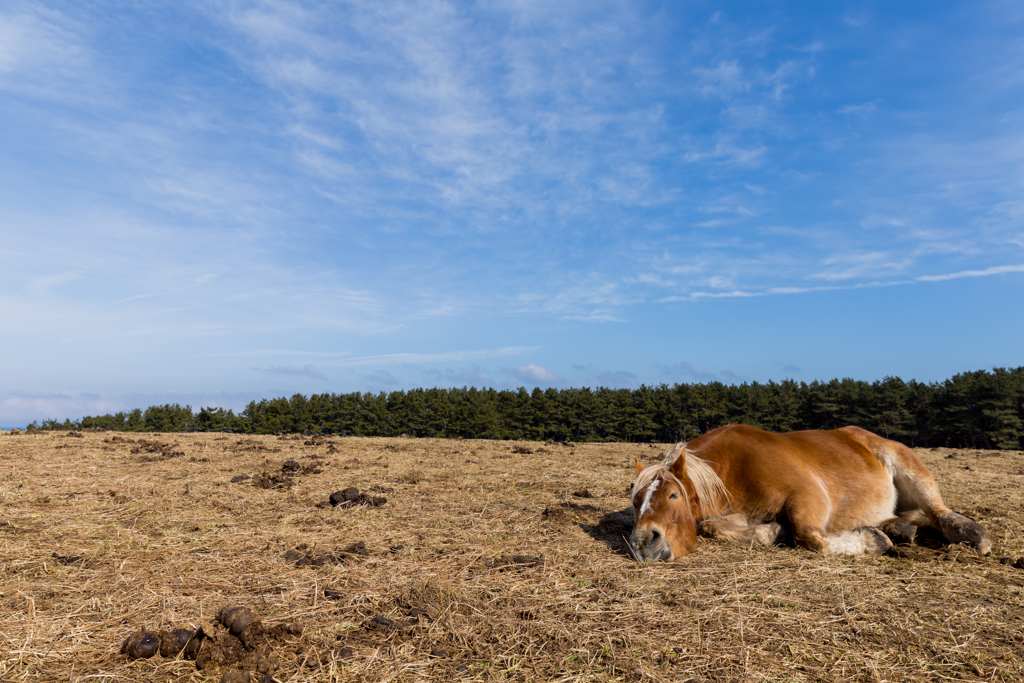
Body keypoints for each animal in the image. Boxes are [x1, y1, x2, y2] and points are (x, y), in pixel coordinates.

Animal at [630, 423, 991, 565]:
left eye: (673, 496)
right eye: (635, 502)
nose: (644, 541)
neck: (733, 468)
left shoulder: (808, 496)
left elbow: (810, 537)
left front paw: (871, 541)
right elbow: (710, 526)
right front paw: (773, 531)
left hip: (909, 468)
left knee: (940, 514)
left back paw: (973, 535)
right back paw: (899, 528)